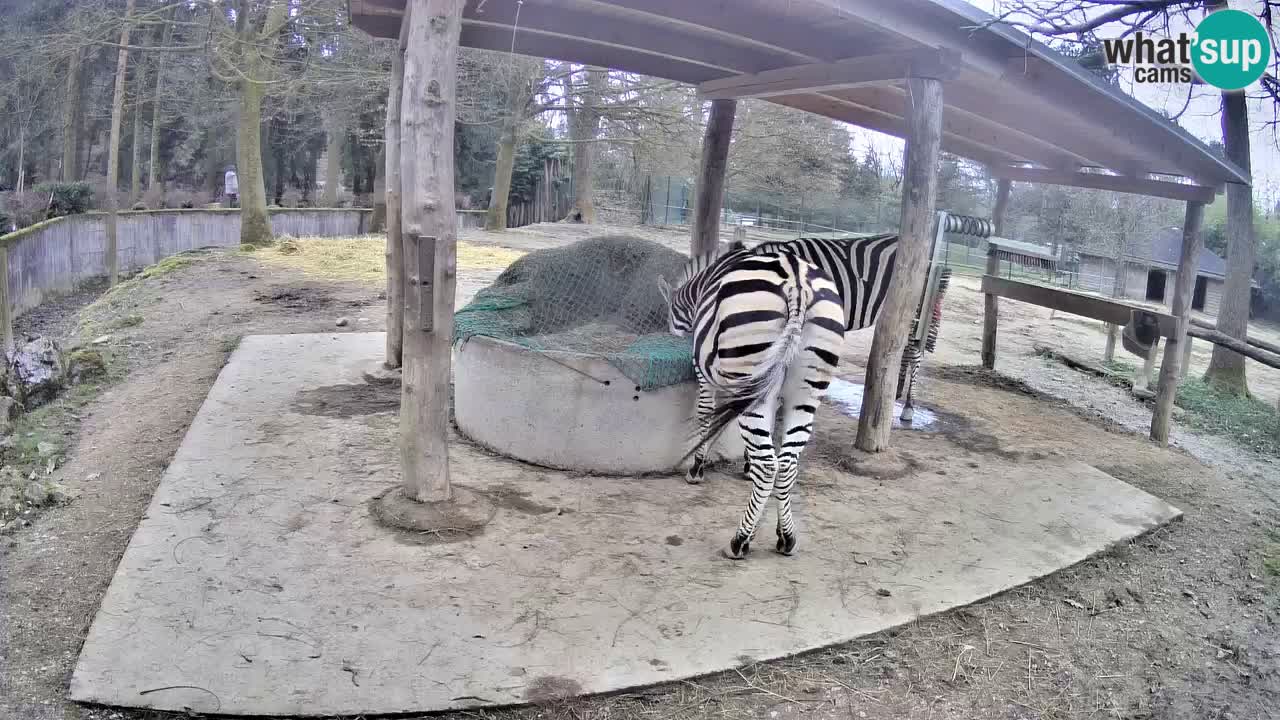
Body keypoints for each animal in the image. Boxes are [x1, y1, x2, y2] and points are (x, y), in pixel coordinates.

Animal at [658, 243, 845, 559]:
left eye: (671, 315)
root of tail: (797, 282)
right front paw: (747, 471)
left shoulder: (706, 376)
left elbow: (707, 415)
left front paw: (697, 469)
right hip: (804, 395)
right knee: (787, 463)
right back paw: (786, 537)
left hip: (751, 369)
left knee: (770, 464)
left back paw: (740, 540)